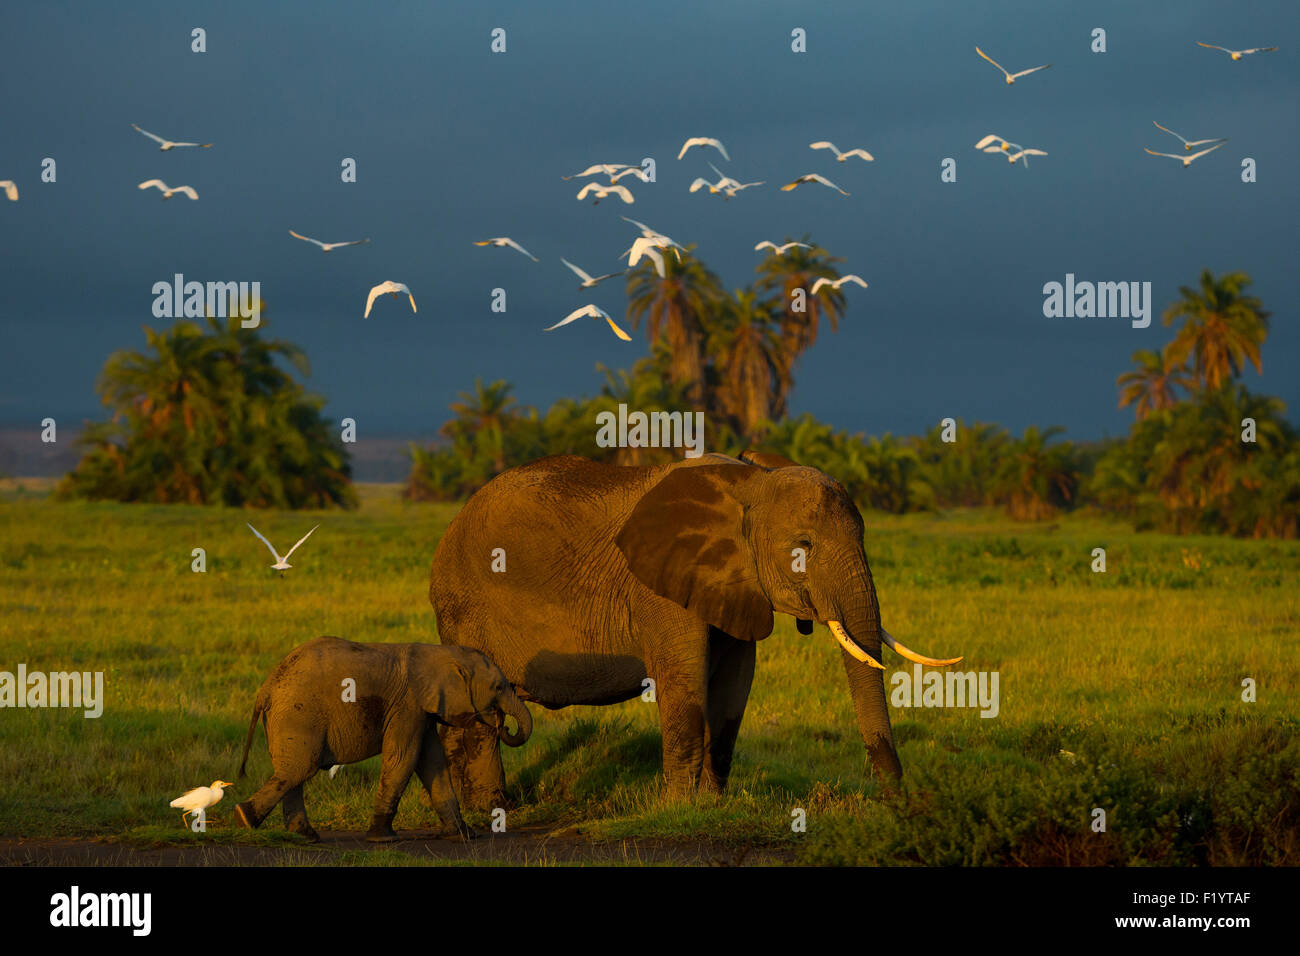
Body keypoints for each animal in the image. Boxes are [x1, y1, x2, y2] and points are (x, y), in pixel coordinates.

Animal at [236, 639, 530, 842]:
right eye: (498, 688)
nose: (502, 723)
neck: (440, 653)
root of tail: (265, 689)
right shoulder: (407, 706)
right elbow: (403, 759)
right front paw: (383, 838)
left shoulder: (422, 711)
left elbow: (432, 764)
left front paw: (465, 836)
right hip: (299, 715)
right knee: (299, 769)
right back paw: (245, 819)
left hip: (286, 719)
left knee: (292, 771)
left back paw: (303, 837)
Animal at [431, 452, 961, 811]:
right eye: (804, 546)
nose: (897, 801)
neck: (751, 485)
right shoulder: (661, 588)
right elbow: (683, 685)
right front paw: (674, 810)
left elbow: (733, 688)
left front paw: (709, 807)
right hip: (463, 607)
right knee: (476, 711)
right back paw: (491, 813)